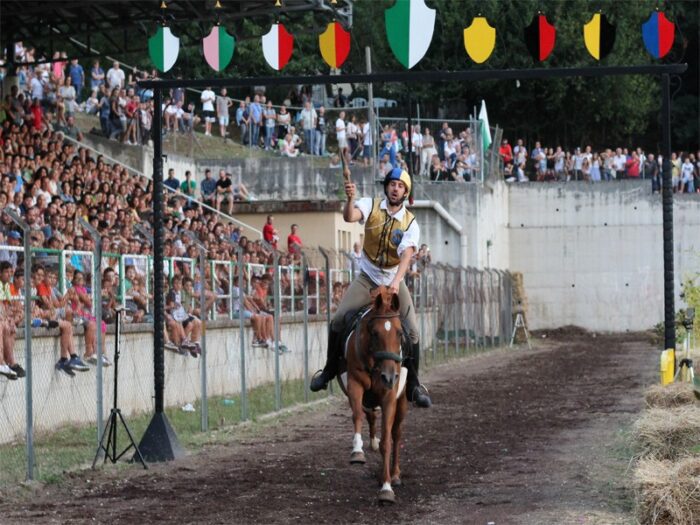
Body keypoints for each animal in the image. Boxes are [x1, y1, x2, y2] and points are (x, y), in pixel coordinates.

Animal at [336, 286, 408, 504]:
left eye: (400, 333)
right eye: (374, 333)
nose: (389, 376)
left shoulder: (389, 397)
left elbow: (387, 441)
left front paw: (386, 487)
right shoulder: (355, 384)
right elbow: (357, 415)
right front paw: (357, 452)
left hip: (402, 402)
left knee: (396, 433)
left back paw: (395, 474)